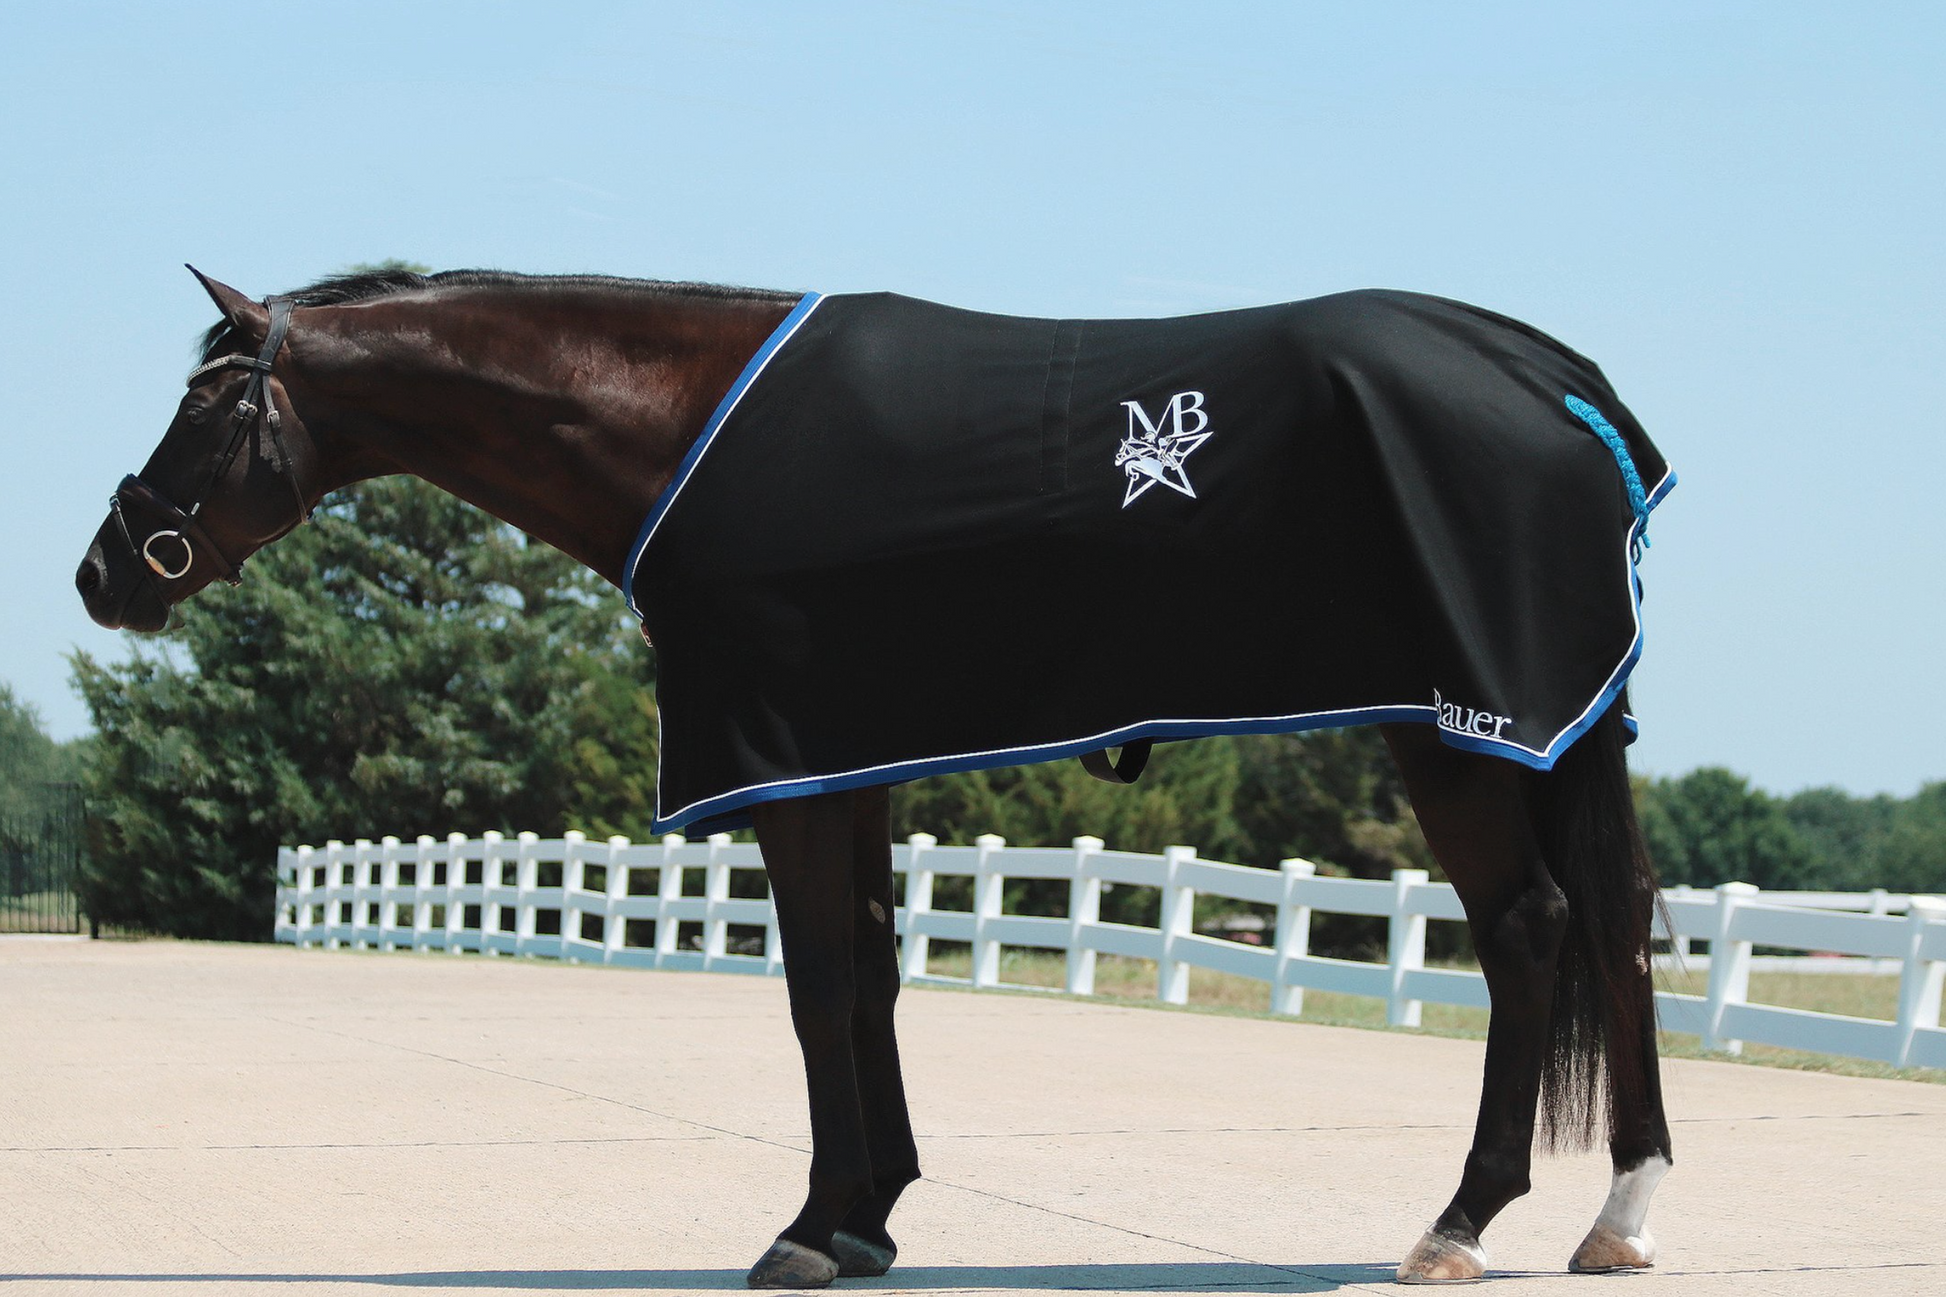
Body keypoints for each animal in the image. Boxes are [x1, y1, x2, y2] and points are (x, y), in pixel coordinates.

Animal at [77, 267, 1675, 1286]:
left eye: (206, 408)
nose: (106, 573)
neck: (676, 427)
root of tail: (1552, 382)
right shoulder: (852, 765)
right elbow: (871, 973)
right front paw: (871, 1215)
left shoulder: (785, 771)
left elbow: (817, 989)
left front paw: (808, 1225)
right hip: (1552, 735)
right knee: (1616, 931)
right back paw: (1620, 1215)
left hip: (1452, 733)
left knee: (1530, 929)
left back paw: (1461, 1222)